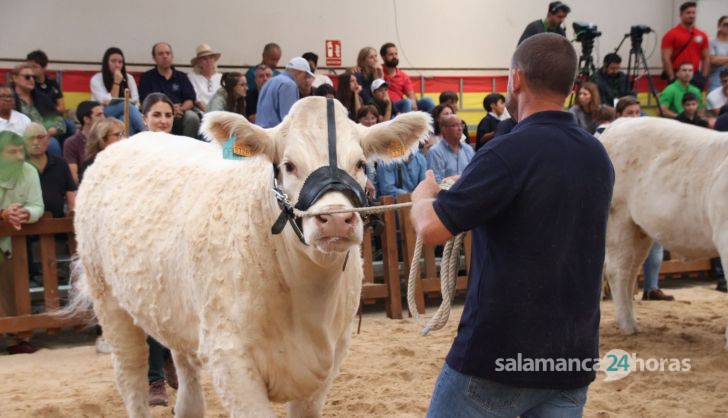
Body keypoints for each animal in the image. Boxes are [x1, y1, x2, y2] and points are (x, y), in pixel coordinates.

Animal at [71, 96, 430, 416]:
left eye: (360, 163)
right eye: (288, 165)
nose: (336, 219)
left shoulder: (329, 358)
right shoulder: (229, 359)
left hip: (175, 312)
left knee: (188, 387)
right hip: (108, 299)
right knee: (130, 375)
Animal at [600, 116, 724, 334]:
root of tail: (620, 122)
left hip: (639, 228)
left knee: (632, 268)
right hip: (618, 217)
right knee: (618, 269)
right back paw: (627, 325)